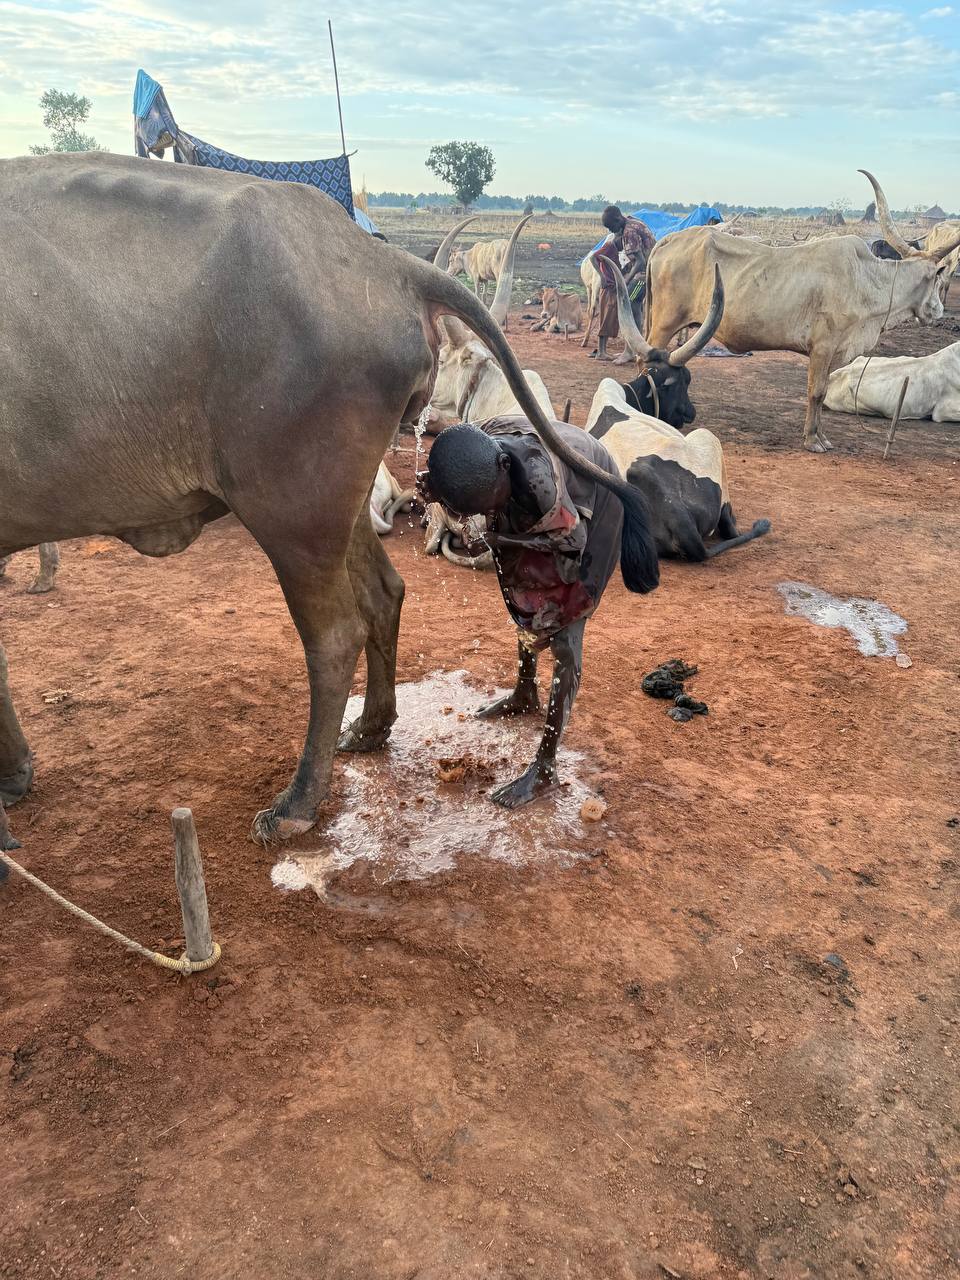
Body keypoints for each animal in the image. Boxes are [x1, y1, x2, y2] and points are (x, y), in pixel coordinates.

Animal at [0, 155, 649, 849]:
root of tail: (383, 261)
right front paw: (14, 774)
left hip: (294, 510)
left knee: (337, 635)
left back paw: (299, 800)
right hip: (342, 499)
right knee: (386, 593)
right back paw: (370, 728)